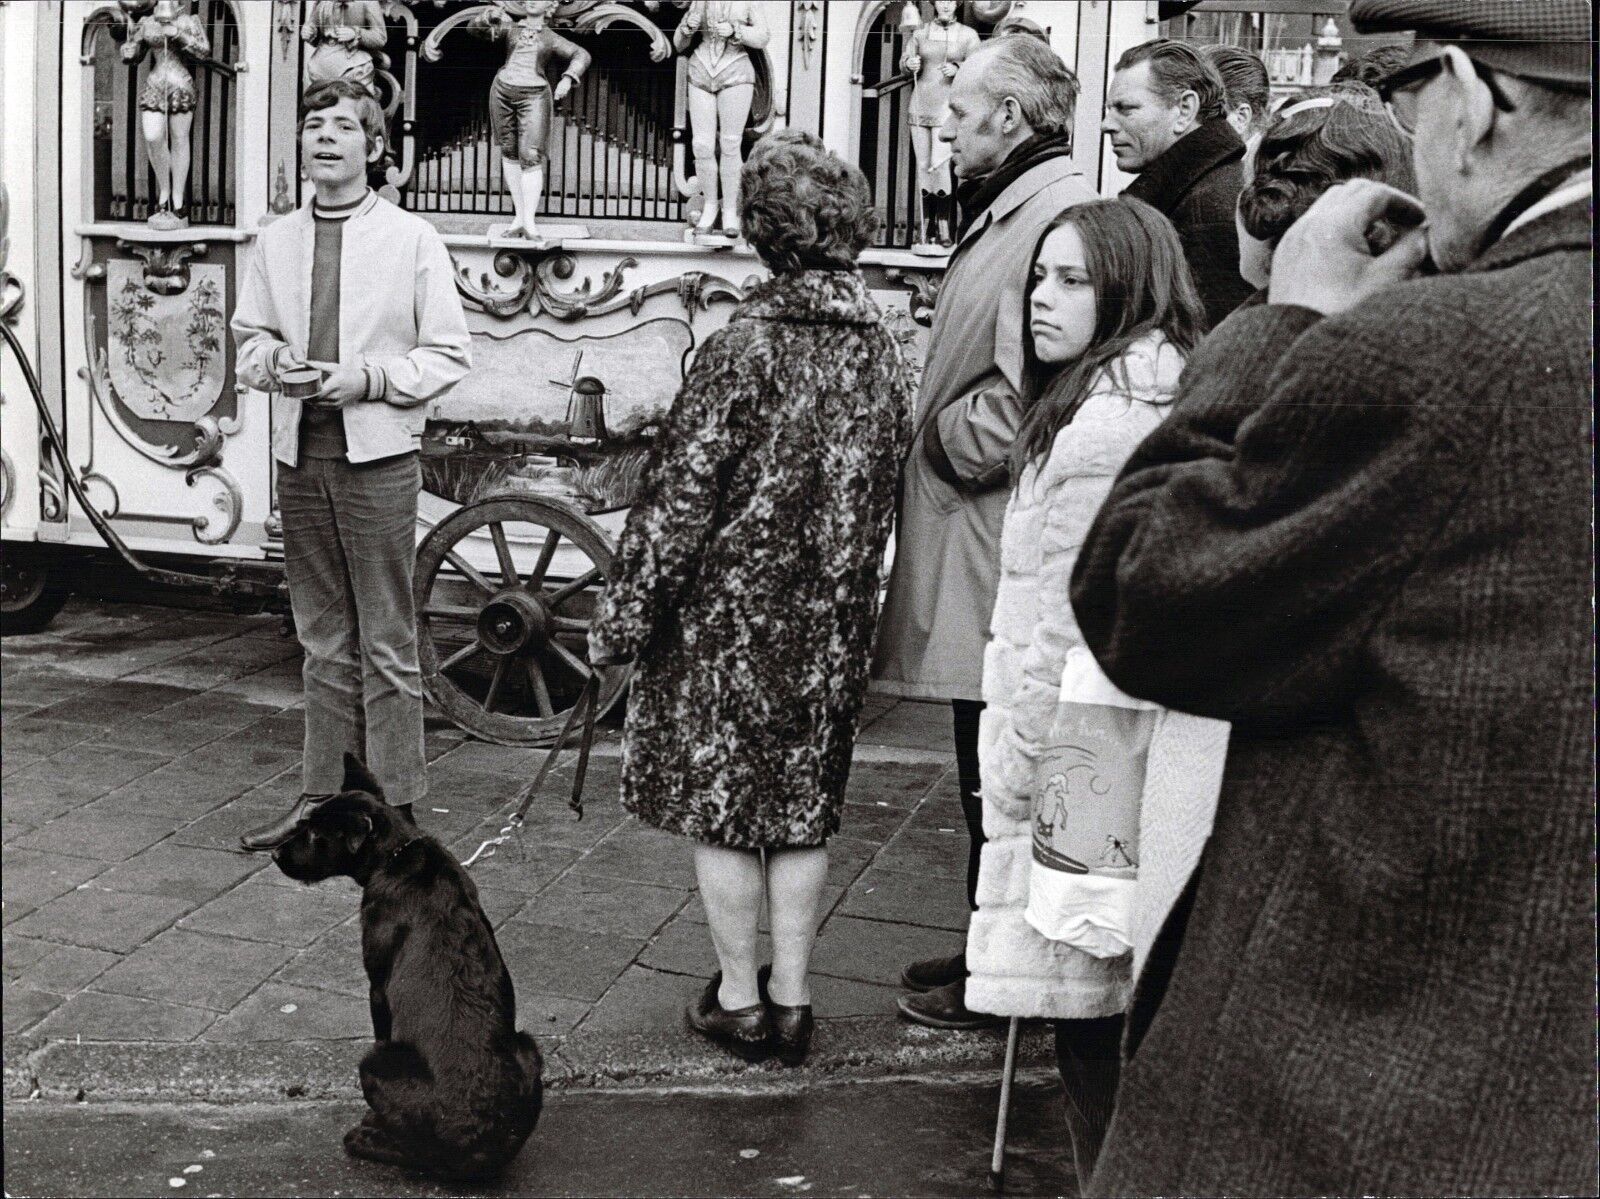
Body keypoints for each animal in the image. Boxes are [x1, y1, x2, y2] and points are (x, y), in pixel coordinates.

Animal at [270, 752, 544, 1184]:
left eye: (316, 835)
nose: (275, 855)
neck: (396, 853)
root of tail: (473, 1146)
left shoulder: (377, 988)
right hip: (529, 1049)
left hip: (375, 1063)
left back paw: (368, 1135)